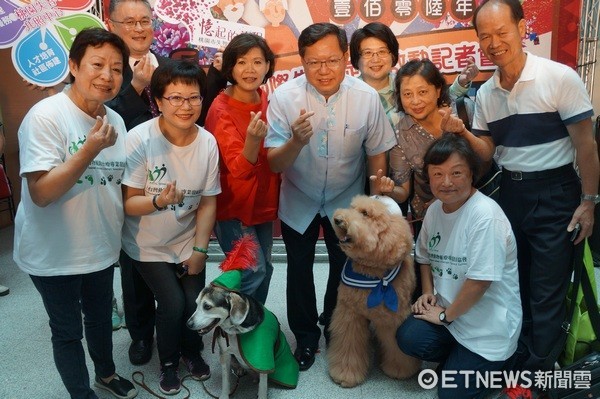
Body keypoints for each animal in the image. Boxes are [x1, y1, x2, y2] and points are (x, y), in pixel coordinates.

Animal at [328, 196, 422, 388]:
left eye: (365, 213)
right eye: (352, 207)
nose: (338, 219)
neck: (371, 274)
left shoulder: (392, 319)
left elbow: (396, 348)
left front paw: (400, 370)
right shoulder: (350, 316)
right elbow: (348, 346)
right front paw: (345, 374)